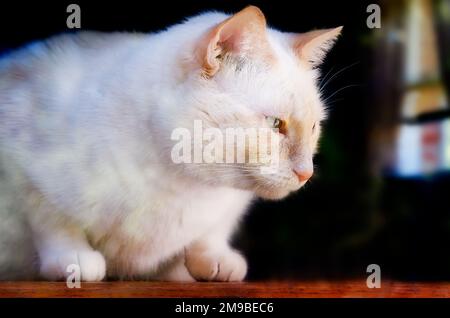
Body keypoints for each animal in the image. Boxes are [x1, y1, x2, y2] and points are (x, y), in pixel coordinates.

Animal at [0, 6, 342, 280]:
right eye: (275, 125)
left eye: (314, 127)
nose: (306, 173)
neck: (181, 184)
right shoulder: (21, 170)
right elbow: (52, 222)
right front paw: (73, 261)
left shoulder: (228, 205)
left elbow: (211, 232)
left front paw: (215, 259)